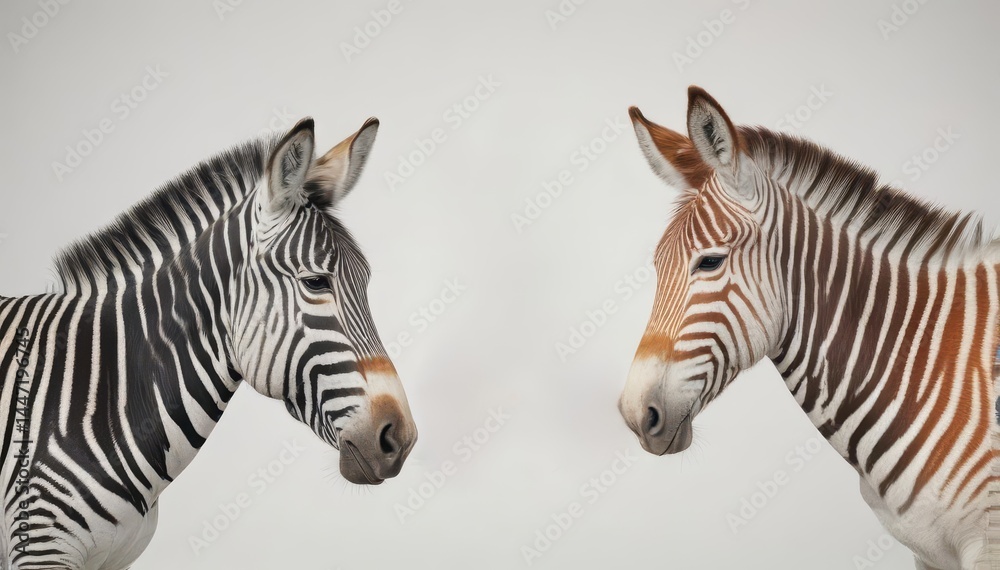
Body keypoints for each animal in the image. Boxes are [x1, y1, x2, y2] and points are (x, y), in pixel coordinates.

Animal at [617, 87, 1000, 570]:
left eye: (710, 262)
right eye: (656, 266)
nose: (635, 414)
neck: (927, 364)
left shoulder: (985, 543)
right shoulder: (928, 553)